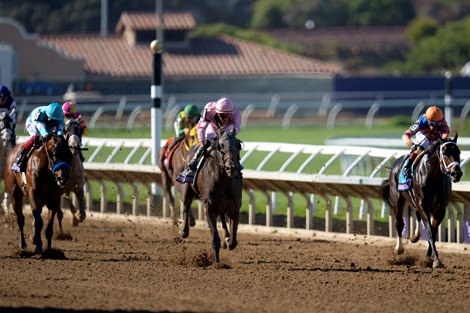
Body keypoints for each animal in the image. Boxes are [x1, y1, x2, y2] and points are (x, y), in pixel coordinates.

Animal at [178, 129, 241, 264]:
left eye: (238, 145)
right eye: (221, 146)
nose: (231, 167)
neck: (225, 182)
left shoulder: (235, 208)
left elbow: (233, 241)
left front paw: (228, 240)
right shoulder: (210, 207)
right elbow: (215, 239)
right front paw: (217, 263)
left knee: (222, 216)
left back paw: (226, 236)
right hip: (187, 188)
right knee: (186, 204)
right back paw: (184, 231)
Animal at [378, 135, 462, 266]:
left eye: (458, 152)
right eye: (444, 152)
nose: (456, 173)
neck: (433, 177)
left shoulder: (440, 209)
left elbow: (433, 231)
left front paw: (430, 257)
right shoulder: (423, 205)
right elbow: (430, 231)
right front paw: (436, 260)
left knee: (416, 214)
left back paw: (415, 236)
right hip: (398, 200)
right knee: (400, 224)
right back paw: (399, 248)